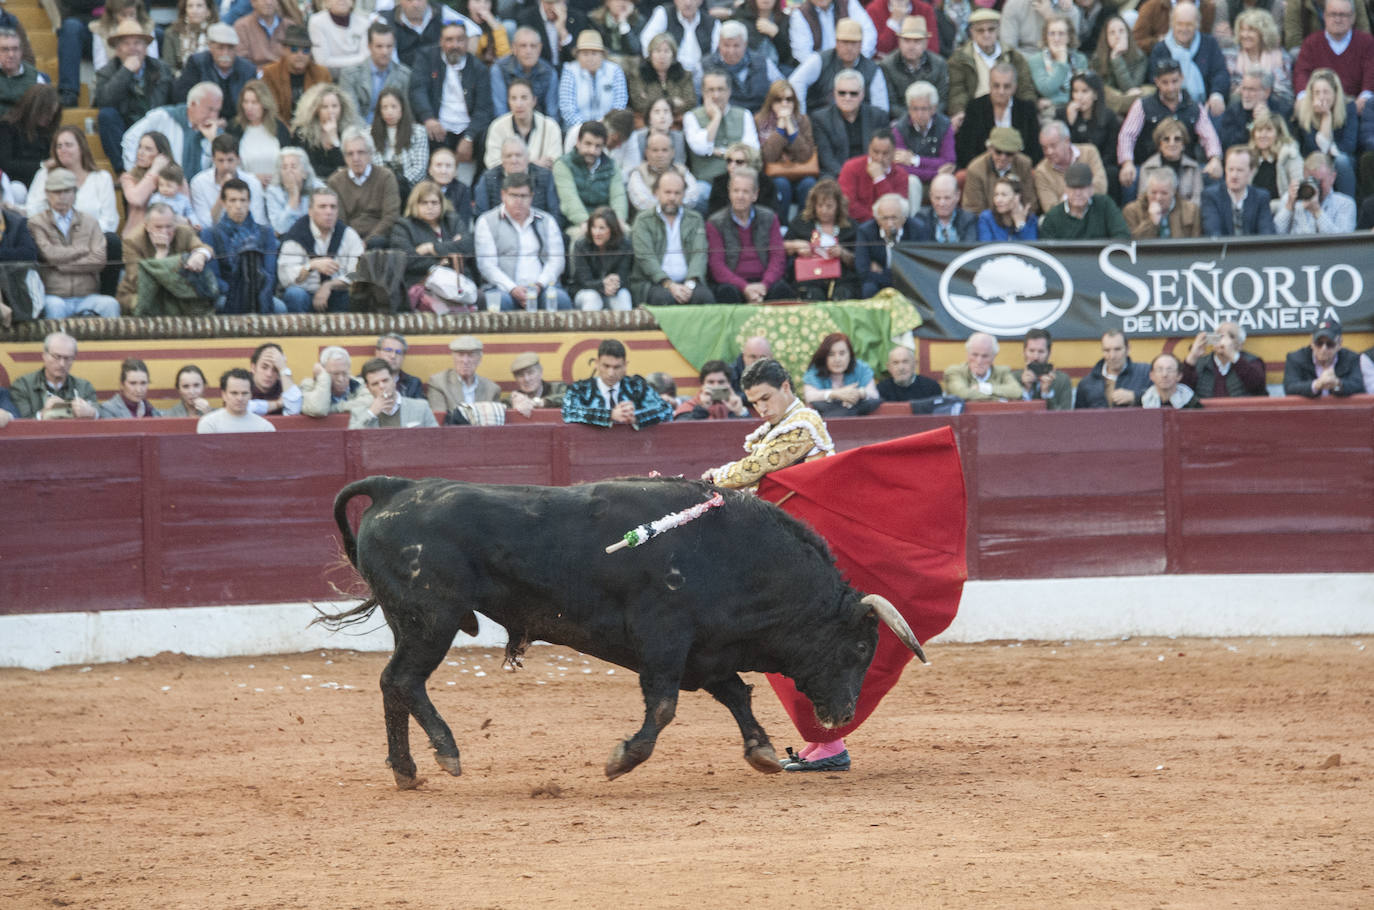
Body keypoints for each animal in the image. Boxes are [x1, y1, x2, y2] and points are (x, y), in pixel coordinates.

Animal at [320, 478, 923, 791]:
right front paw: (622, 758)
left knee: (393, 684)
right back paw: (445, 753)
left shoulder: (706, 651)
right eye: (860, 646)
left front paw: (763, 751)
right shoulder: (665, 638)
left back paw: (408, 771)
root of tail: (395, 489)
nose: (843, 714)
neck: (739, 555)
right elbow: (664, 706)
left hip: (414, 623)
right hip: (432, 620)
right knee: (404, 681)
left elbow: (736, 694)